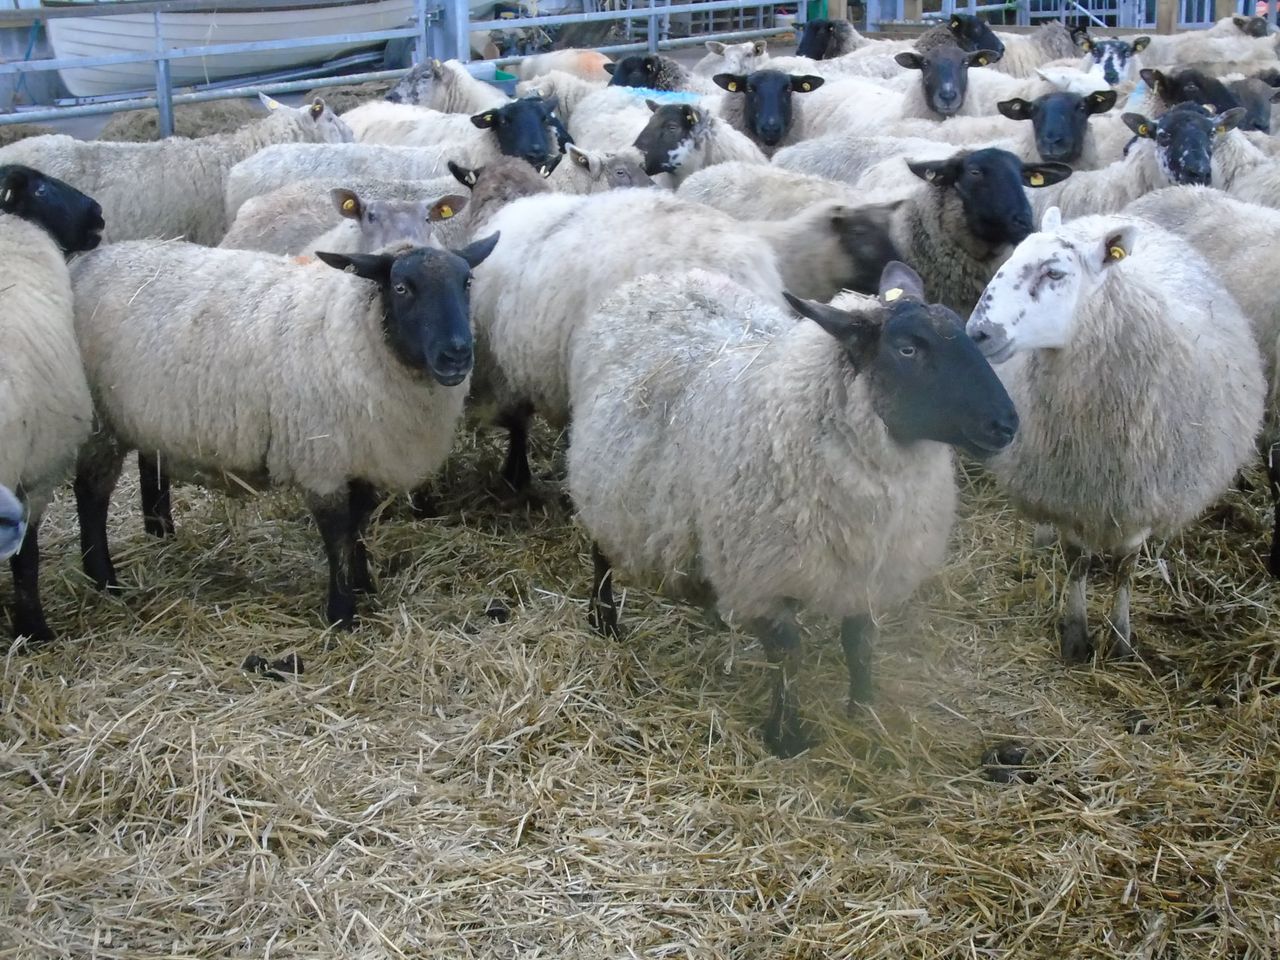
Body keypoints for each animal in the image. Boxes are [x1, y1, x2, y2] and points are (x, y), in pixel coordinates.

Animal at [70, 234, 500, 629]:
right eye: (401, 287)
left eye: (467, 282)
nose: (457, 355)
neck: (350, 331)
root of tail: (89, 260)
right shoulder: (321, 461)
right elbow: (337, 536)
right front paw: (342, 615)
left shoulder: (360, 454)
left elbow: (357, 528)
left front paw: (364, 586)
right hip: (99, 425)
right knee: (91, 496)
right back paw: (105, 580)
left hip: (143, 419)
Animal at [566, 263, 1018, 755]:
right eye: (908, 348)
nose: (1007, 424)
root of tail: (662, 278)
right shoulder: (765, 575)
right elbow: (788, 656)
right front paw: (786, 735)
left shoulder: (867, 570)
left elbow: (860, 643)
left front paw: (863, 709)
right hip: (606, 478)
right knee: (601, 551)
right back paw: (603, 619)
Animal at [966, 208, 1265, 662]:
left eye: (1054, 272)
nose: (977, 333)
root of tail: (1115, 215)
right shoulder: (1066, 488)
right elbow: (1076, 560)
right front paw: (1076, 636)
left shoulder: (1141, 490)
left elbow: (1126, 565)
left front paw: (1121, 638)